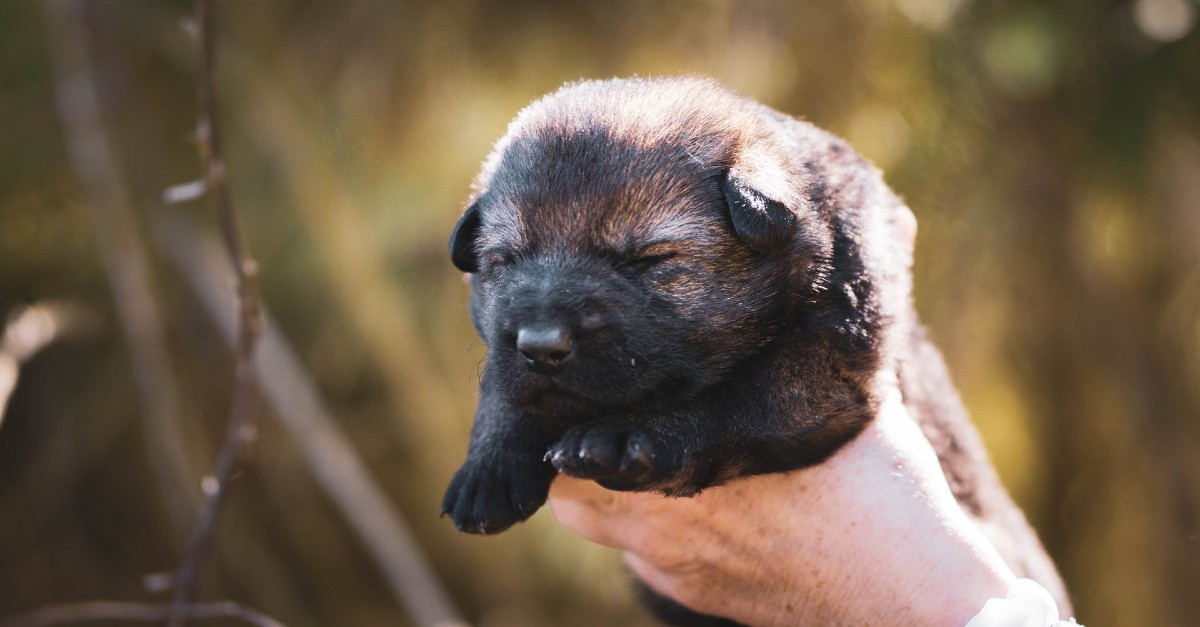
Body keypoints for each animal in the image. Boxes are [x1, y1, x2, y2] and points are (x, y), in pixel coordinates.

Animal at [441, 76, 1070, 619]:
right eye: (504, 262)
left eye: (648, 260)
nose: (541, 345)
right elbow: (503, 385)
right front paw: (489, 465)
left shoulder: (828, 363)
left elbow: (737, 398)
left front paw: (629, 436)